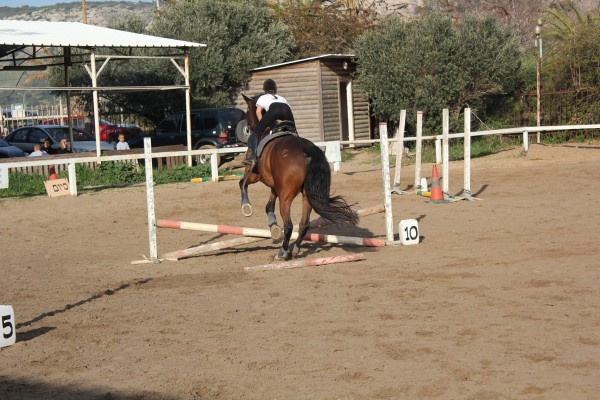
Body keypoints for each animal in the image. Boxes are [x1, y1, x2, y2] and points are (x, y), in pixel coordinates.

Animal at [239, 93, 358, 260]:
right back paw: (294, 248)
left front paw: (246, 206)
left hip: (286, 197)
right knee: (304, 224)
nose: (248, 128)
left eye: (248, 111)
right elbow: (268, 206)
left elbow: (242, 183)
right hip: (307, 195)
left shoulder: (255, 175)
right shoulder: (275, 186)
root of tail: (306, 150)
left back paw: (283, 252)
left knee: (289, 225)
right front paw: (273, 227)